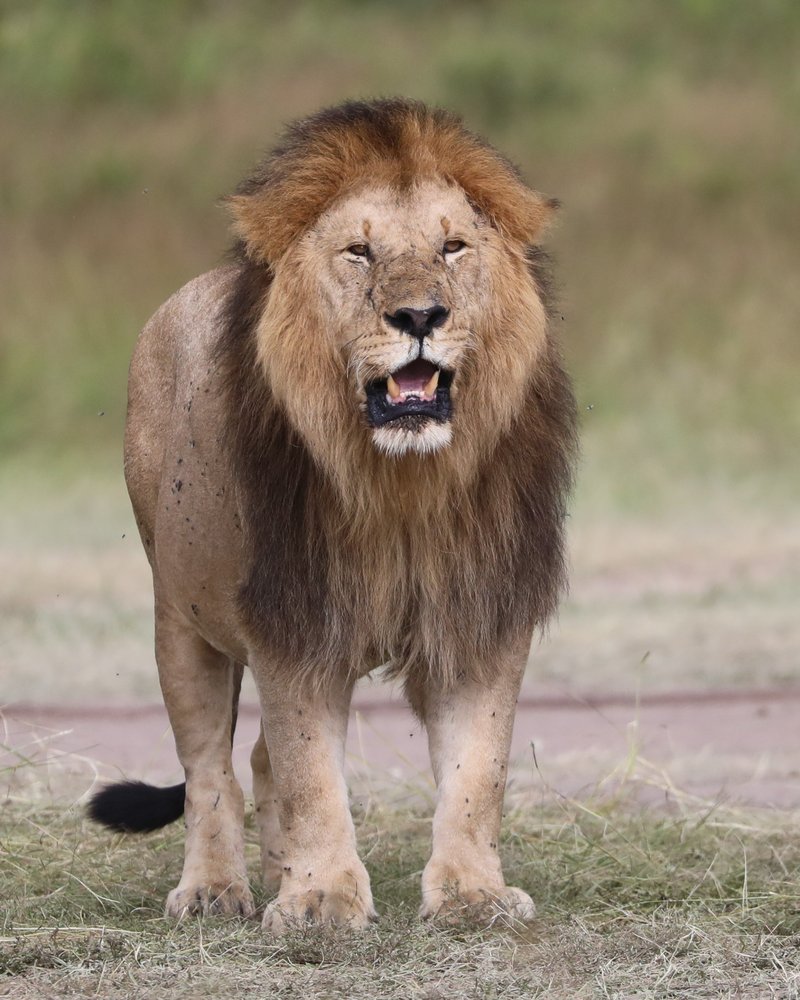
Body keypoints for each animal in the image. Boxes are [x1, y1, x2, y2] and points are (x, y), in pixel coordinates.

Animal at [88, 98, 577, 932]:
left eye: (453, 246)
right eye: (358, 252)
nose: (420, 314)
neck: (402, 484)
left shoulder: (481, 614)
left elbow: (478, 771)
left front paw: (471, 895)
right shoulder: (294, 620)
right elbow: (309, 770)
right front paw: (319, 900)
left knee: (254, 759)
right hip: (181, 623)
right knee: (210, 769)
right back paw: (215, 889)